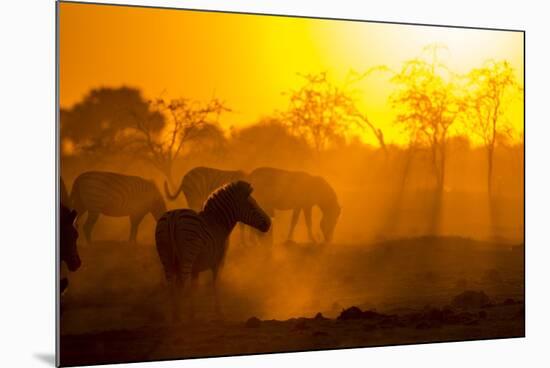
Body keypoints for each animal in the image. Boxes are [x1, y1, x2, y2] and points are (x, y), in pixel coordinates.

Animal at [155, 180, 272, 320]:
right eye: (252, 205)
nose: (269, 223)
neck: (218, 223)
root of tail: (173, 217)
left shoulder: (196, 267)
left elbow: (194, 288)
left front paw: (192, 314)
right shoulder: (218, 261)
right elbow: (216, 284)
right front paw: (218, 312)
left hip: (166, 256)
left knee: (171, 285)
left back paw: (174, 315)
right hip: (187, 255)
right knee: (182, 283)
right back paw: (178, 316)